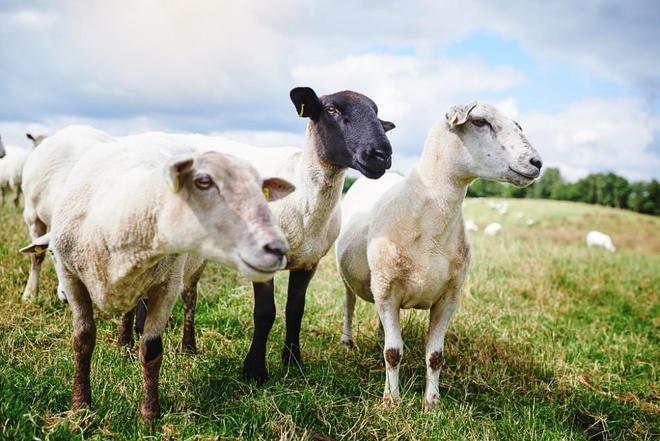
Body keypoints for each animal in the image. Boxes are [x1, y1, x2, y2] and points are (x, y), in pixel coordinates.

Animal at [20, 136, 294, 418]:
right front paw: (80, 407)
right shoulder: (72, 278)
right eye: (203, 182)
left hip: (192, 268)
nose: (276, 248)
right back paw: (123, 343)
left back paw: (187, 346)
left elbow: (151, 349)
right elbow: (83, 340)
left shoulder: (167, 284)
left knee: (190, 300)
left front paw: (150, 415)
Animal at [336, 100, 540, 410]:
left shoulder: (449, 297)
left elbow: (435, 356)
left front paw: (431, 404)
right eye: (479, 122)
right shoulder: (387, 290)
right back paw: (348, 343)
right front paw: (391, 400)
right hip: (353, 278)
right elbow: (393, 352)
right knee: (349, 306)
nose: (536, 162)